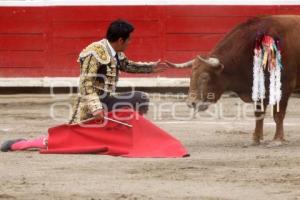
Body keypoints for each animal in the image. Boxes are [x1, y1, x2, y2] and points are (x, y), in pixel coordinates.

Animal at [166, 14, 300, 145]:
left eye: (205, 76)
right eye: (191, 76)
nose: (191, 103)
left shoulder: (284, 87)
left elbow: (278, 114)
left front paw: (277, 140)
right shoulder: (258, 88)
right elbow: (259, 113)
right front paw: (255, 139)